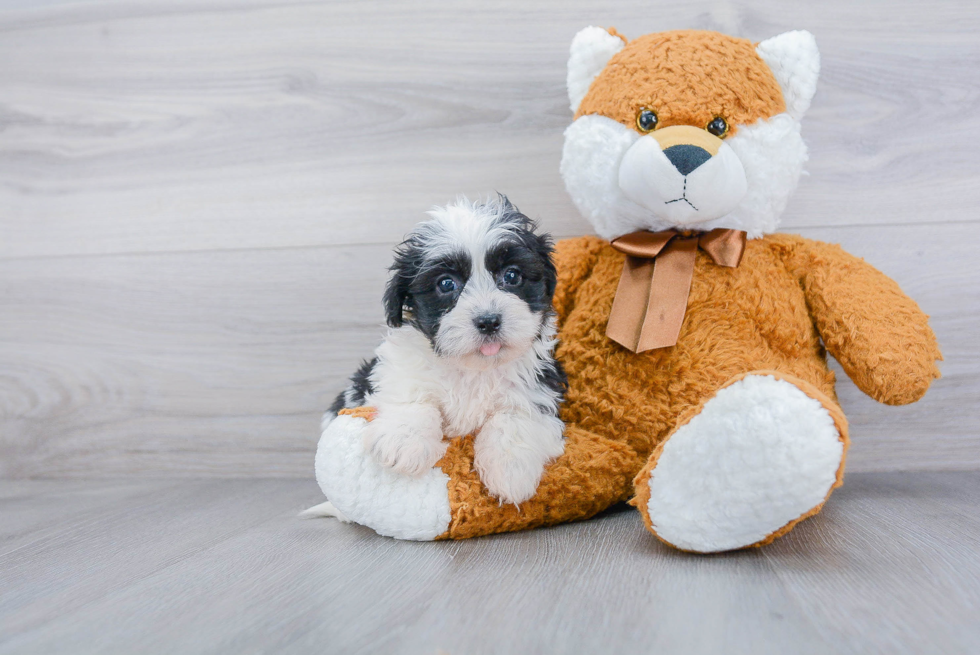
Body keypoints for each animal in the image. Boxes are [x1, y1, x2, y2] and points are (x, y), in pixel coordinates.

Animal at [326, 196, 568, 508]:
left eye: (512, 275)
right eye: (446, 283)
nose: (489, 321)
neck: (472, 367)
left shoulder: (540, 382)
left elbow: (516, 416)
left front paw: (511, 471)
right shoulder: (397, 370)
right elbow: (413, 396)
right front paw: (404, 442)